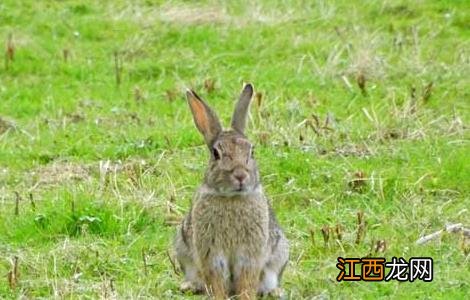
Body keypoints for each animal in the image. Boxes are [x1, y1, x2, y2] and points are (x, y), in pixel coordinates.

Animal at [174, 82, 288, 300]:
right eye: (216, 153)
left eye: (251, 151)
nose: (240, 175)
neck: (232, 198)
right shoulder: (211, 253)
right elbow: (216, 279)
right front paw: (218, 297)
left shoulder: (250, 254)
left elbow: (247, 279)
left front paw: (246, 297)